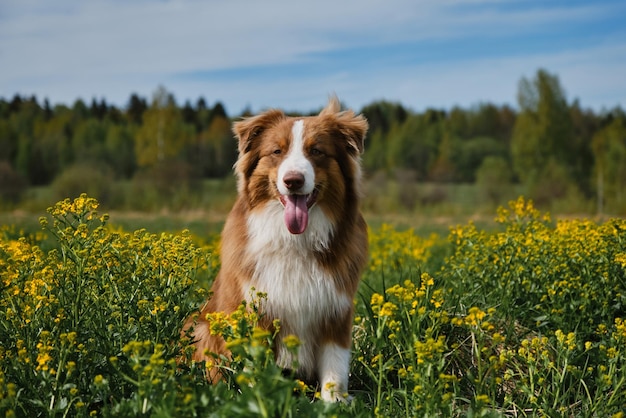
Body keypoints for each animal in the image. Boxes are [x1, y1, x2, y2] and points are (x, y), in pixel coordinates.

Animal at [188, 97, 368, 402]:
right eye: (276, 151)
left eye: (316, 151)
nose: (293, 180)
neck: (294, 241)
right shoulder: (255, 311)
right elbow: (253, 365)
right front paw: (258, 399)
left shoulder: (336, 310)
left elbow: (335, 365)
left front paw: (334, 402)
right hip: (200, 328)